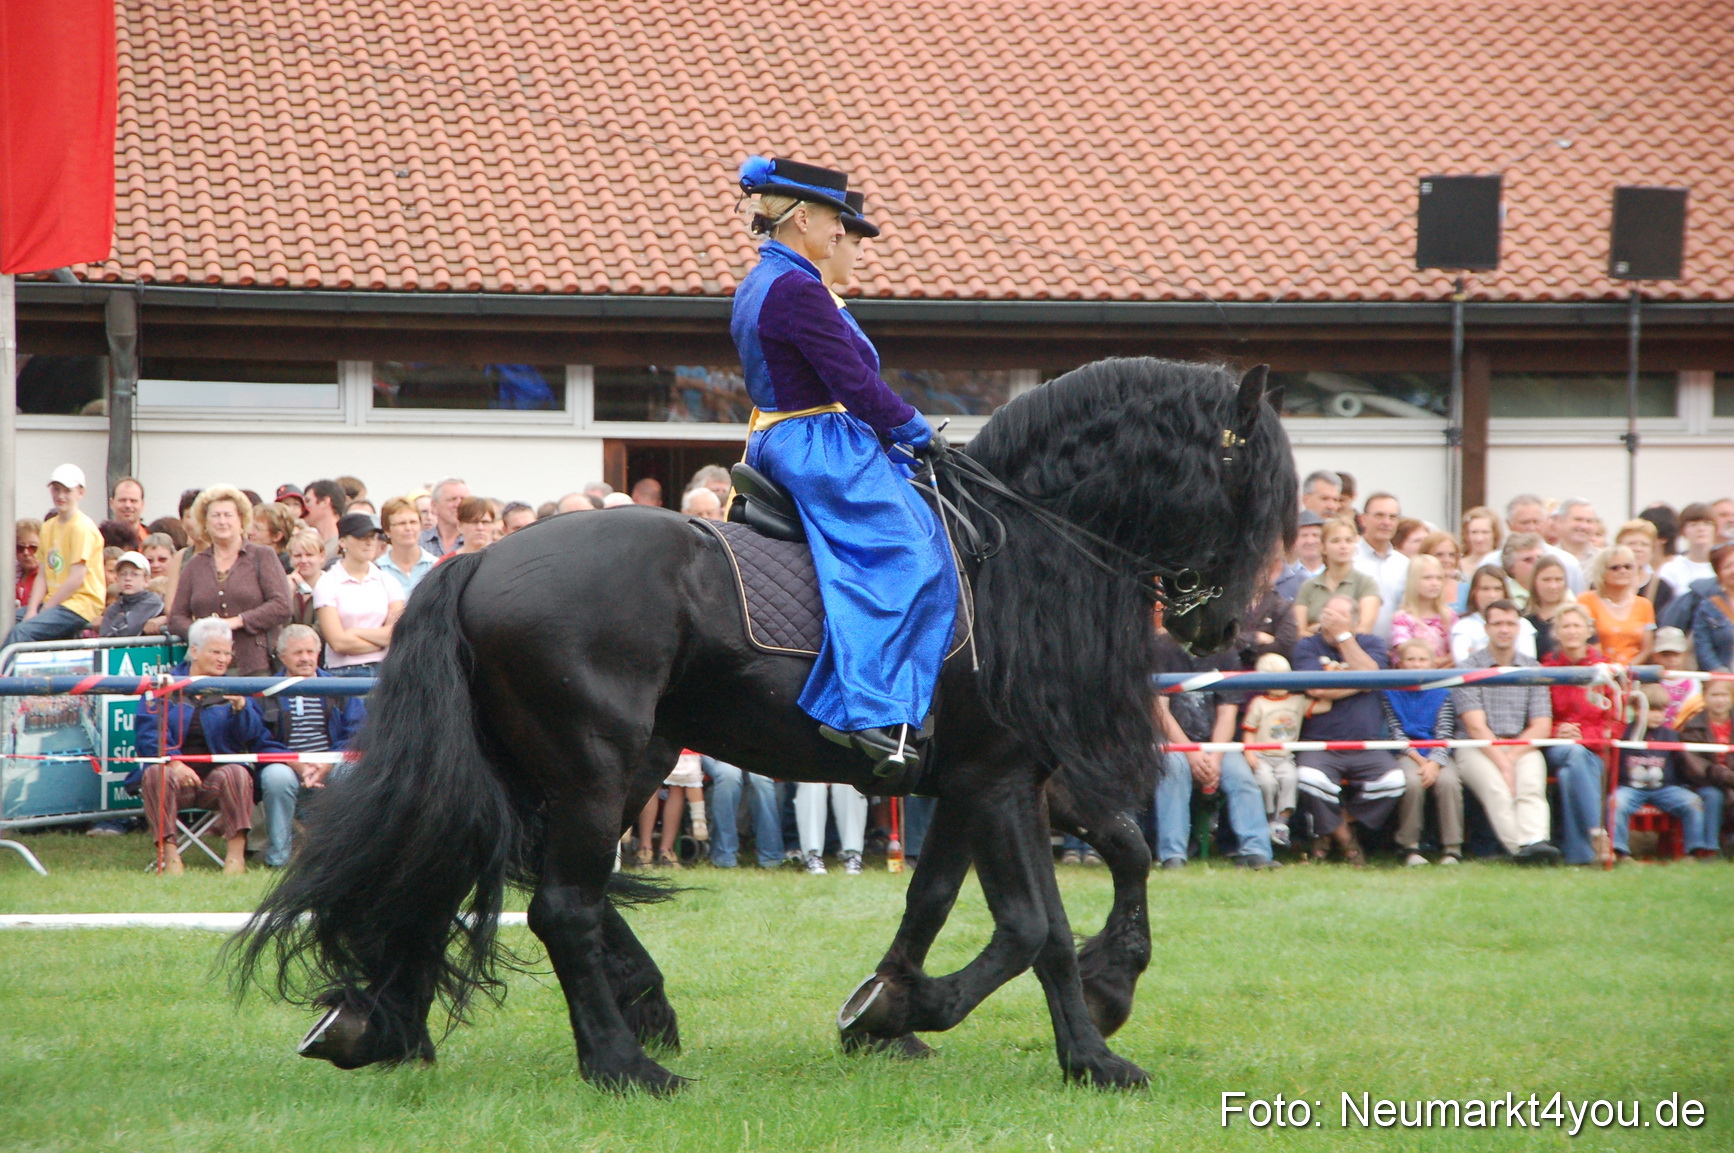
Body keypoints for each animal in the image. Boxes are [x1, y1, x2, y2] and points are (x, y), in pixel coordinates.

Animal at [233, 357, 1295, 1094]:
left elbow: (1005, 888)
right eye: (1245, 486)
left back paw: (391, 1021)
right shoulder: (999, 779)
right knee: (558, 903)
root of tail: (479, 559)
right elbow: (1040, 924)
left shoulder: (984, 779)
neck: (1017, 553)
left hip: (586, 762)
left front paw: (899, 1009)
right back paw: (624, 1062)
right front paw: (1076, 1046)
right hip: (595, 767)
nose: (1220, 628)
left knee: (465, 865)